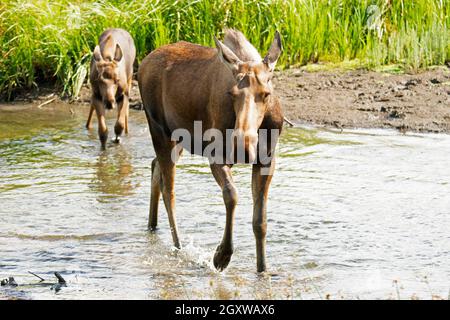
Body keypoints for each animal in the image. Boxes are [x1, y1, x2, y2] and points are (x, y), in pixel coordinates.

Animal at [139, 28, 284, 272]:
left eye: (266, 93)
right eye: (232, 94)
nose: (242, 145)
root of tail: (142, 64)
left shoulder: (266, 160)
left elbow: (260, 221)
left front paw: (263, 270)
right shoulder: (216, 156)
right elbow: (232, 196)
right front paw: (222, 255)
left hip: (179, 139)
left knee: (155, 166)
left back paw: (152, 226)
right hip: (159, 130)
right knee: (169, 190)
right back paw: (179, 247)